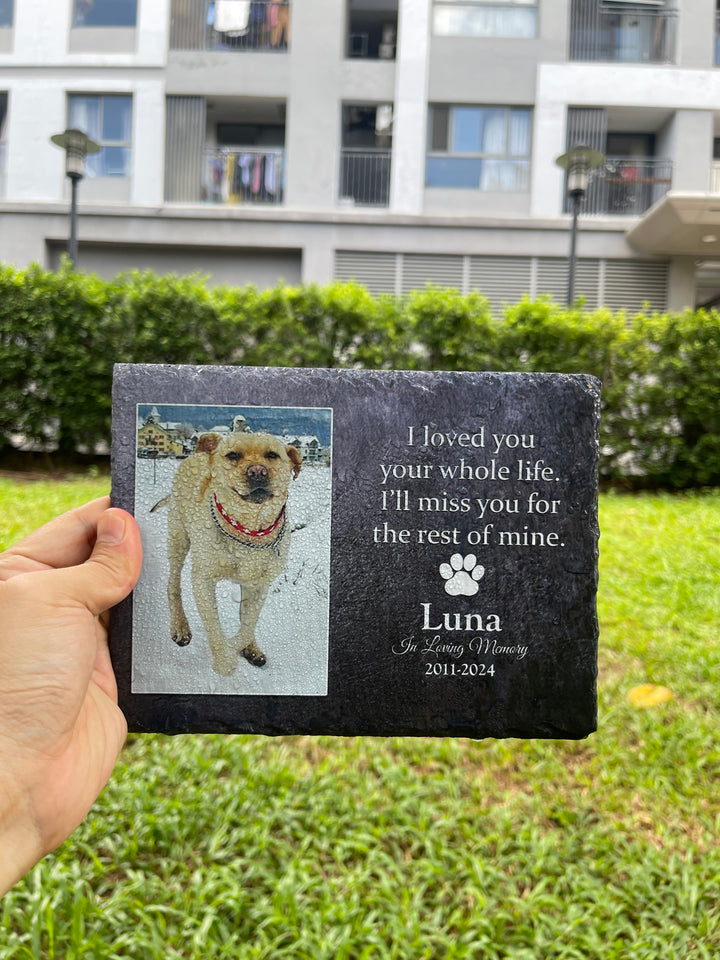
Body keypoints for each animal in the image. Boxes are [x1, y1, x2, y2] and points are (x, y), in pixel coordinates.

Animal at [152, 432, 300, 680]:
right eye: (233, 455)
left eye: (272, 455)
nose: (257, 471)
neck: (248, 530)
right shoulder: (202, 581)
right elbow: (213, 624)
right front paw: (225, 659)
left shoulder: (259, 585)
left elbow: (248, 623)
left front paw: (240, 646)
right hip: (178, 537)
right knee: (173, 583)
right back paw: (180, 626)